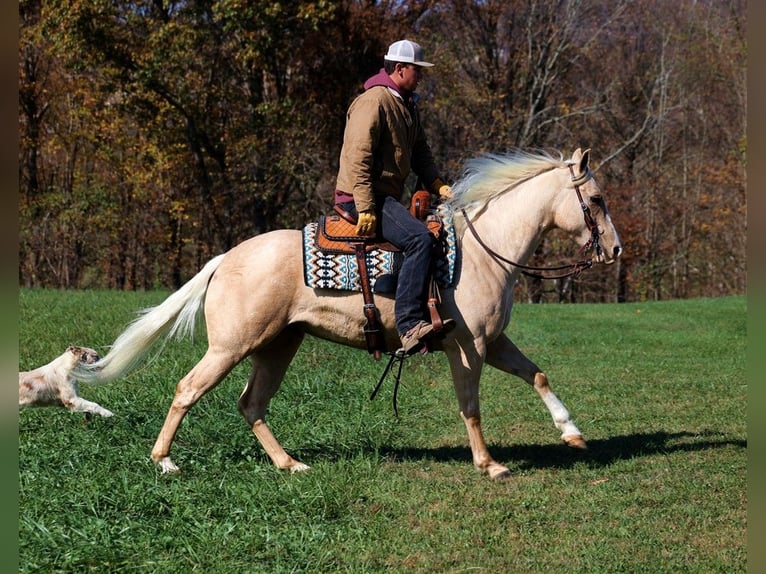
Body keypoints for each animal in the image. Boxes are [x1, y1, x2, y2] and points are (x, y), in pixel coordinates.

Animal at [79, 148, 624, 482]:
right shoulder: (467, 347)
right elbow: (470, 406)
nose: (616, 250)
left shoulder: (494, 343)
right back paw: (165, 461)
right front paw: (490, 464)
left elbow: (537, 375)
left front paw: (571, 431)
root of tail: (224, 259)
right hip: (231, 346)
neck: (482, 251)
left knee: (252, 404)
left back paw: (290, 464)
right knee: (188, 390)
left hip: (278, 346)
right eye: (596, 199)